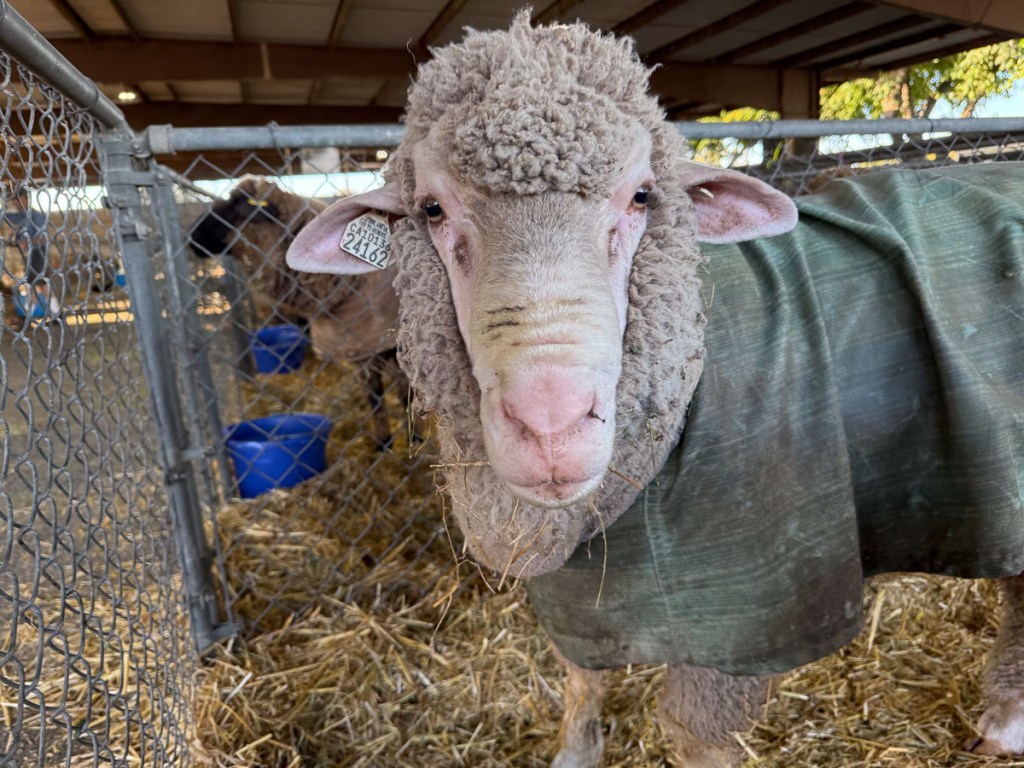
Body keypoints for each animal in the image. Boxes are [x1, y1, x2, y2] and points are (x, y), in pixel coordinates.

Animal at [189, 177, 409, 449]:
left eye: (239, 205)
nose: (192, 236)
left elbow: (405, 393)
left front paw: (415, 438)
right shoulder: (359, 347)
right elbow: (374, 398)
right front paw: (383, 442)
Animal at [284, 13, 1024, 768]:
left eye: (642, 196)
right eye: (430, 209)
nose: (550, 428)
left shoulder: (745, 619)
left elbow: (697, 739)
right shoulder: (581, 598)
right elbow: (581, 681)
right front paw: (575, 753)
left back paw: (1003, 724)